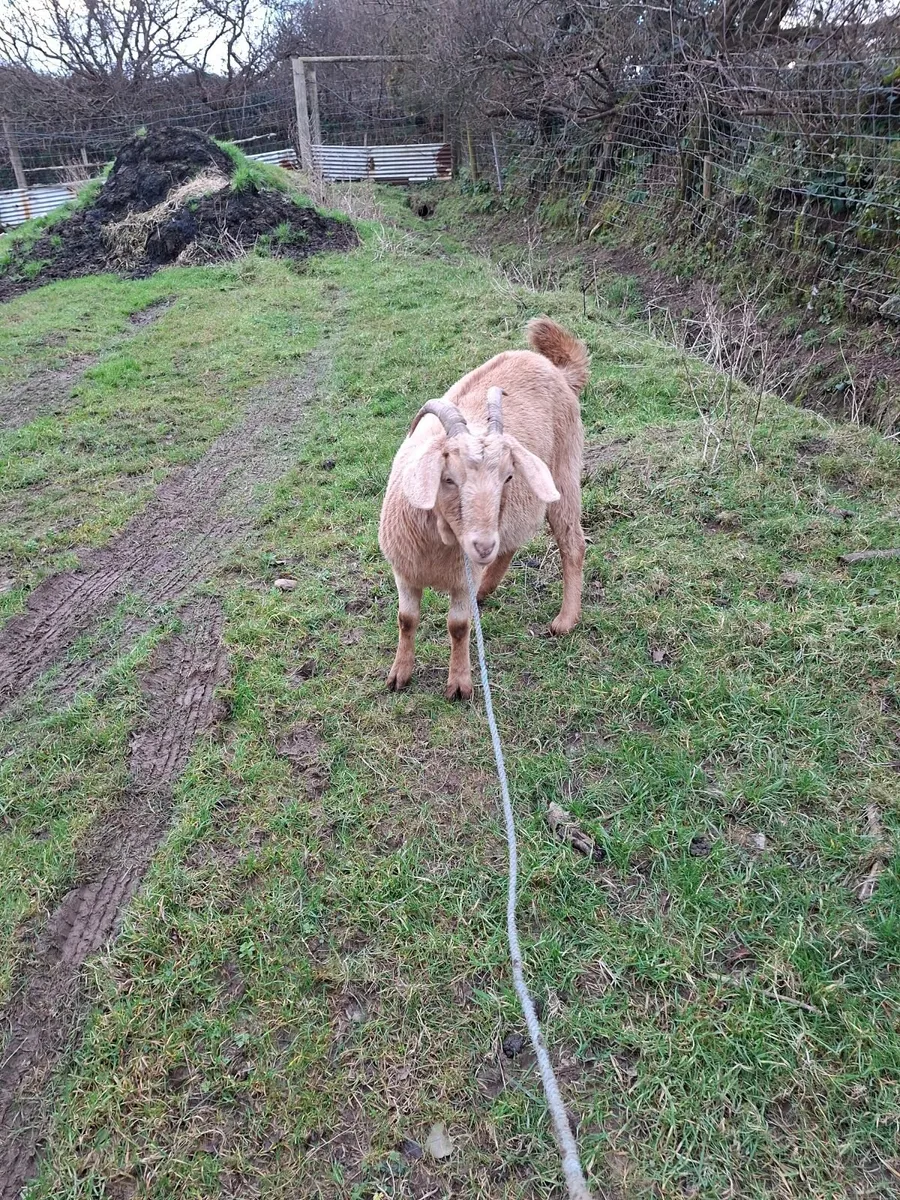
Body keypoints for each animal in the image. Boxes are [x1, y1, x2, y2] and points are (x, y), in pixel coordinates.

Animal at [378, 316, 589, 700]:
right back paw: (487, 589)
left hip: (564, 476)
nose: (481, 545)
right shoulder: (404, 571)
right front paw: (399, 674)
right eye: (448, 478)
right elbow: (406, 620)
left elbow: (459, 627)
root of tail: (555, 369)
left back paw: (565, 620)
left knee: (572, 544)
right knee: (510, 545)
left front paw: (459, 684)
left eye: (509, 476)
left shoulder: (463, 576)